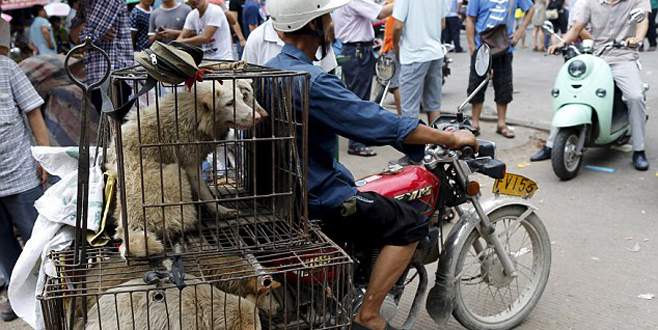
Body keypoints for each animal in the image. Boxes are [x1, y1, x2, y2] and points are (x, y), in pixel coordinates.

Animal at [106, 79, 266, 258]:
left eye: (242, 97)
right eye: (230, 103)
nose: (259, 117)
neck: (196, 114)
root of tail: (130, 228)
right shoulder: (190, 166)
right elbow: (207, 196)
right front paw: (220, 211)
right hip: (175, 173)